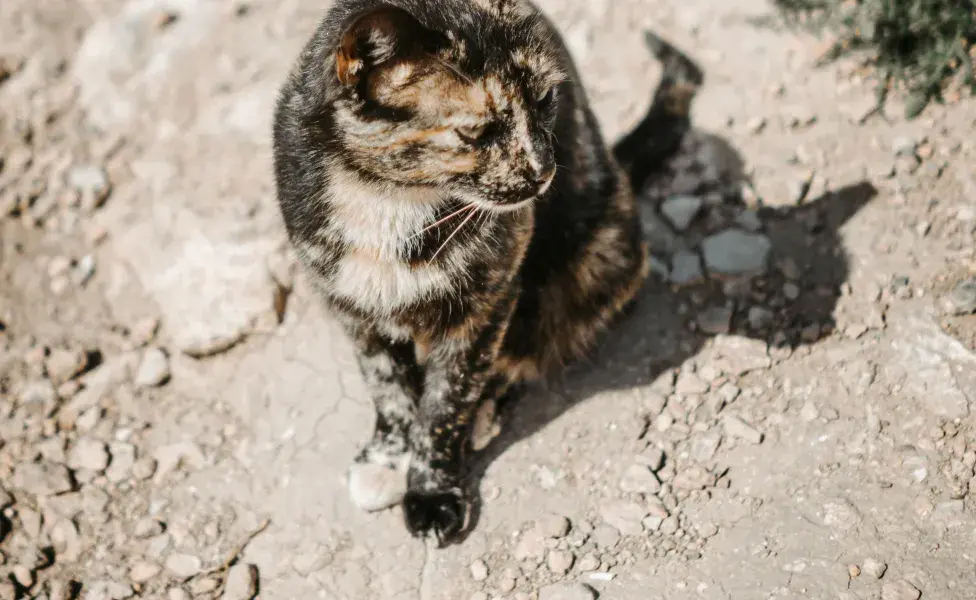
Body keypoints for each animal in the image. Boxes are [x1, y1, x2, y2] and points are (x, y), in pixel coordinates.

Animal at [272, 0, 700, 544]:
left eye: (546, 98)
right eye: (476, 131)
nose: (543, 171)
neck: (387, 201)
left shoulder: (484, 304)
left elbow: (444, 403)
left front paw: (432, 491)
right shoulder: (351, 307)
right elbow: (386, 386)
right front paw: (388, 455)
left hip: (598, 257)